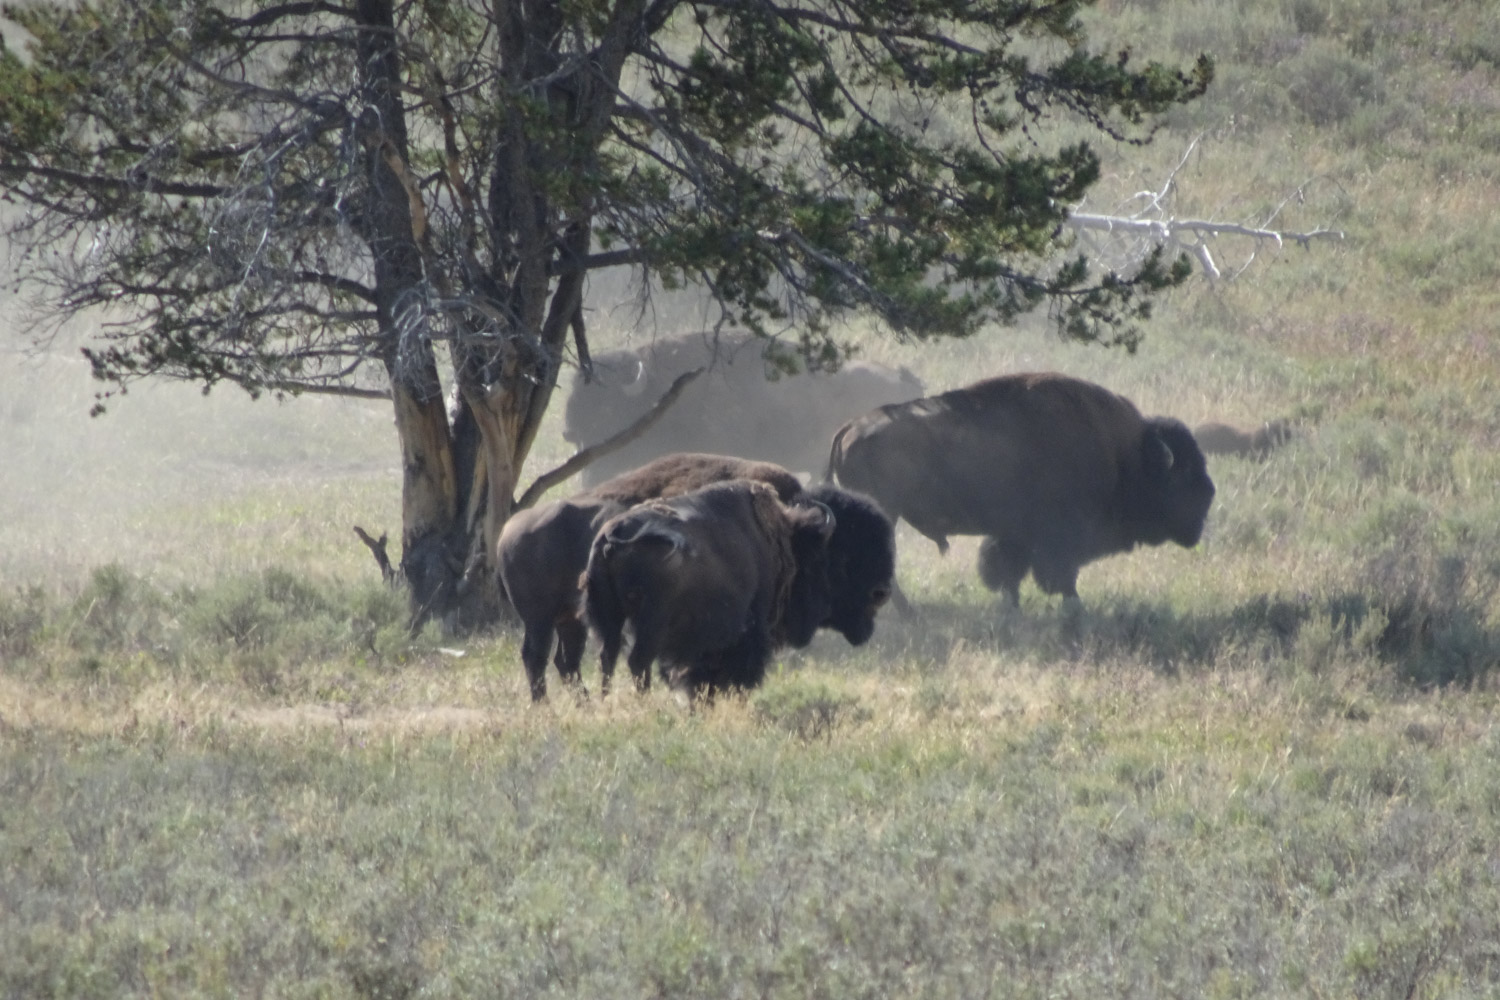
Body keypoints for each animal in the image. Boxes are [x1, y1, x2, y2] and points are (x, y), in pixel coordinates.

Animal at [495, 455, 804, 701]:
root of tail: (508, 530)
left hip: (570, 617)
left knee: (569, 659)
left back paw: (588, 703)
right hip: (541, 618)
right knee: (537, 656)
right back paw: (545, 704)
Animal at [582, 479, 888, 701]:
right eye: (840, 559)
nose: (880, 593)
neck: (786, 544)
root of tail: (614, 537)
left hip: (608, 620)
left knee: (608, 659)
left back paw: (607, 702)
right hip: (651, 624)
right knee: (637, 661)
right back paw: (644, 704)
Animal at [828, 371, 1212, 605]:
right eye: (1185, 475)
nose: (1209, 497)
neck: (1124, 455)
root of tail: (848, 427)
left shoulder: (1014, 536)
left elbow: (1007, 573)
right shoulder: (1056, 539)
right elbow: (1057, 576)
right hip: (884, 513)